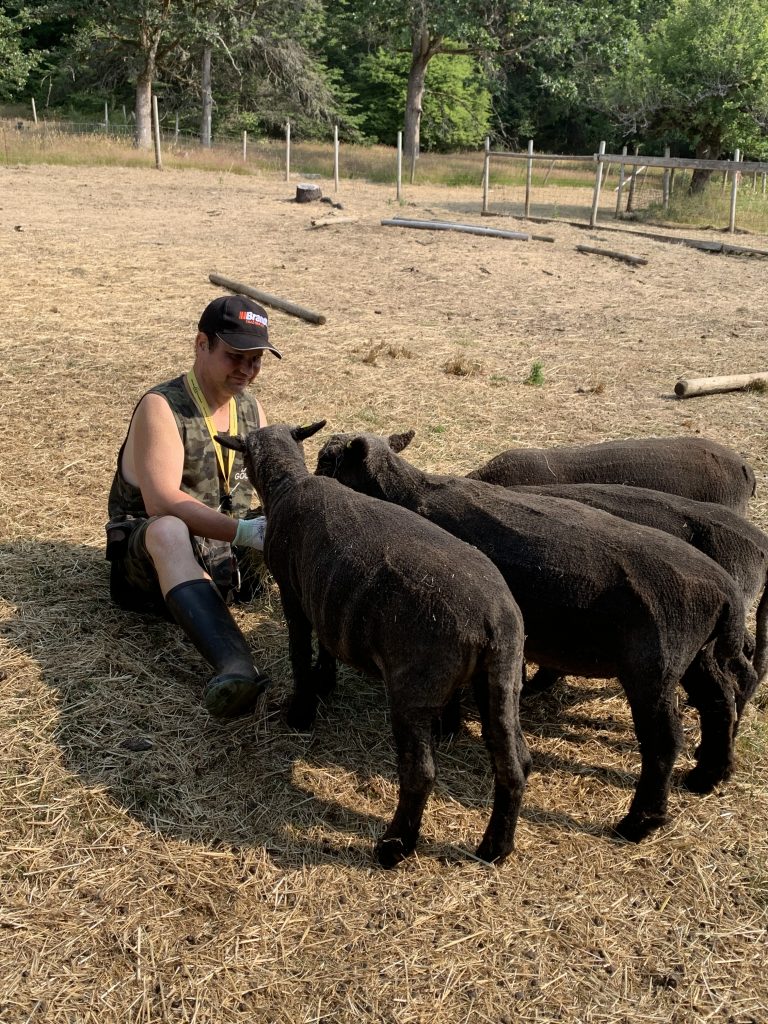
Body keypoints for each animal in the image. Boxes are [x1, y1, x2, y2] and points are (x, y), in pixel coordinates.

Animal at [216, 422, 531, 868]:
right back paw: (495, 848)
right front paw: (325, 682)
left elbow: (299, 653)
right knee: (515, 762)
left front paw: (301, 711)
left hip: (414, 687)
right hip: (501, 681)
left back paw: (394, 847)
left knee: (420, 774)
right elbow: (326, 643)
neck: (287, 483)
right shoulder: (327, 596)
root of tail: (494, 620)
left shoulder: (295, 595)